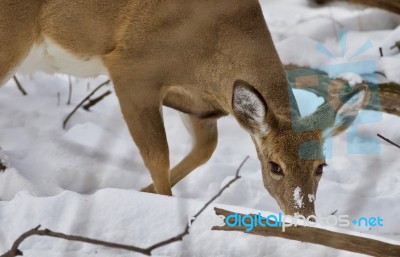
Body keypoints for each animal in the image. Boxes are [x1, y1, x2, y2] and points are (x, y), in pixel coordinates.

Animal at [0, 0, 368, 216]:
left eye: (321, 167)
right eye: (275, 166)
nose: (304, 216)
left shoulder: (197, 104)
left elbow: (205, 149)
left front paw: (138, 192)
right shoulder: (132, 70)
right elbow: (158, 157)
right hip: (11, 36)